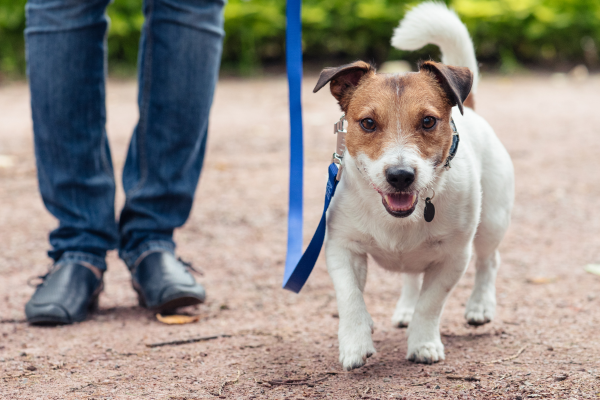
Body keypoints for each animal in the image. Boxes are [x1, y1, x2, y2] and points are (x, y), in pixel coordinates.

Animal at [312, 2, 512, 372]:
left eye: (429, 121)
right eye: (368, 123)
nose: (401, 176)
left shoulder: (453, 257)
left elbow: (430, 304)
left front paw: (423, 344)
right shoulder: (342, 248)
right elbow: (350, 297)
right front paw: (356, 341)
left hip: (492, 221)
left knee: (489, 261)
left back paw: (480, 306)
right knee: (410, 278)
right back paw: (404, 309)